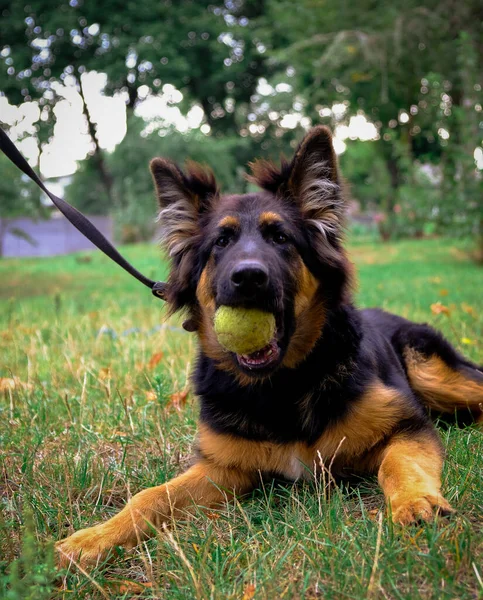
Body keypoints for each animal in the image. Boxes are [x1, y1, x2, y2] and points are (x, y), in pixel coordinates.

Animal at [56, 125, 483, 568]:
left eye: (280, 237)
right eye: (221, 242)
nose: (248, 278)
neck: (281, 386)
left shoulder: (407, 427)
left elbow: (399, 464)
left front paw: (416, 502)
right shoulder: (222, 468)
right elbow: (151, 496)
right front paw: (95, 537)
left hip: (430, 370)